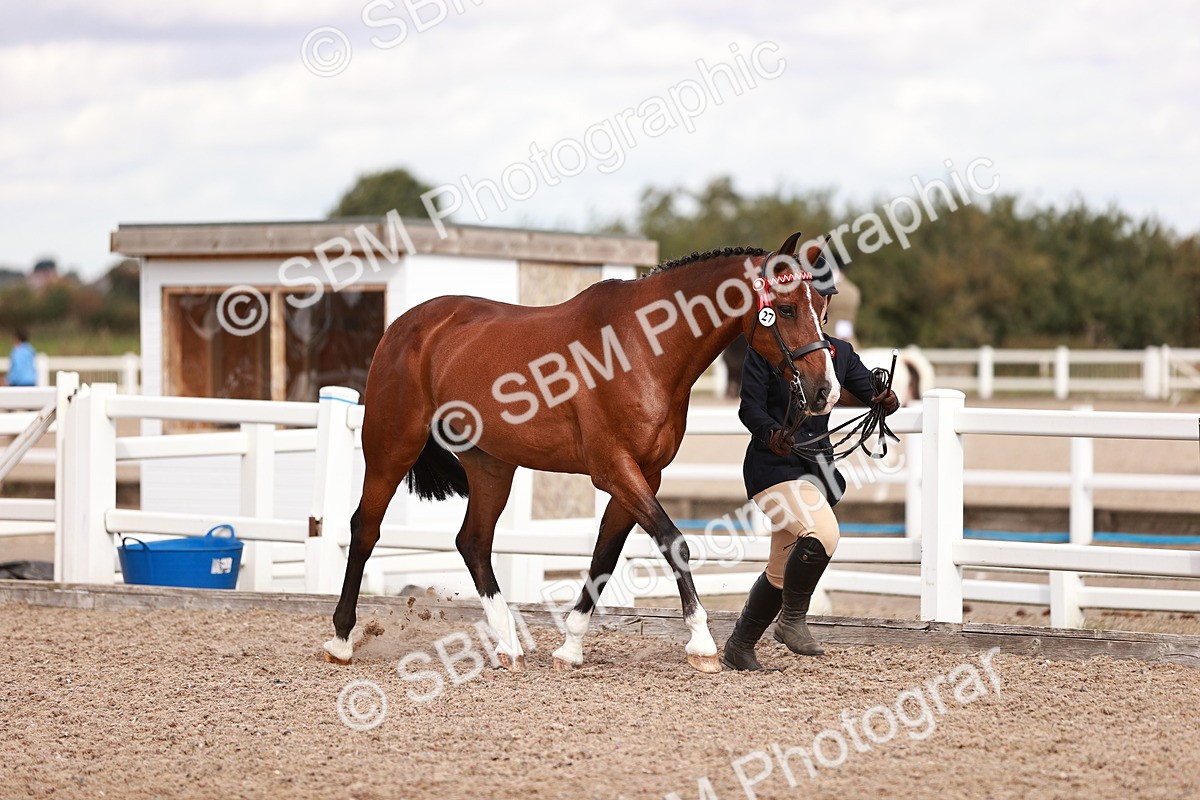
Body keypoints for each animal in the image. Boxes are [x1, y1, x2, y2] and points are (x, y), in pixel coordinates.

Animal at [323, 231, 841, 674]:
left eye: (823, 307)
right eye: (787, 309)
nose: (825, 392)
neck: (641, 347)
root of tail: (403, 326)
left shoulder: (642, 475)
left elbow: (604, 558)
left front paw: (570, 648)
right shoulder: (615, 470)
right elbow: (673, 541)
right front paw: (701, 644)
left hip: (491, 465)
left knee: (473, 542)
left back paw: (509, 646)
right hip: (392, 448)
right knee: (365, 528)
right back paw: (342, 640)